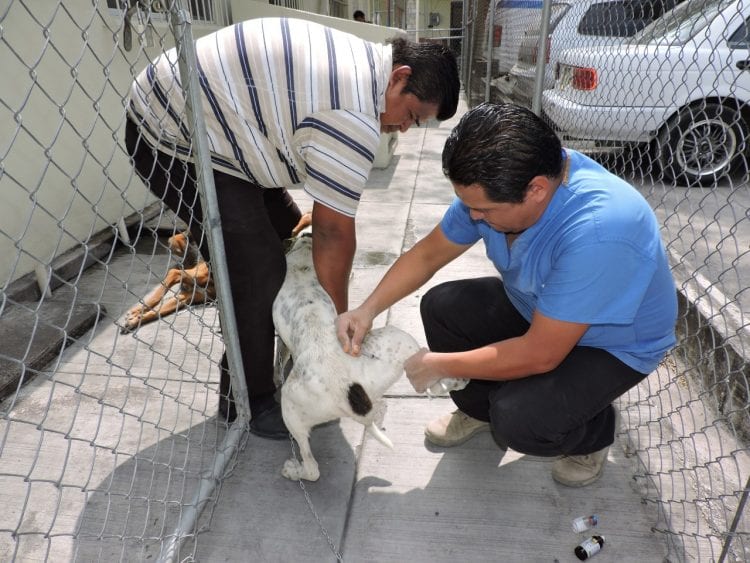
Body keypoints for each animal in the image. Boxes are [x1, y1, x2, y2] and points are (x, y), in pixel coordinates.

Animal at [123, 213, 312, 334]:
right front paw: (137, 314)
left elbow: (158, 312)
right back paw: (139, 307)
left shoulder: (187, 297)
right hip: (184, 254)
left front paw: (136, 320)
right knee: (174, 271)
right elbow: (171, 279)